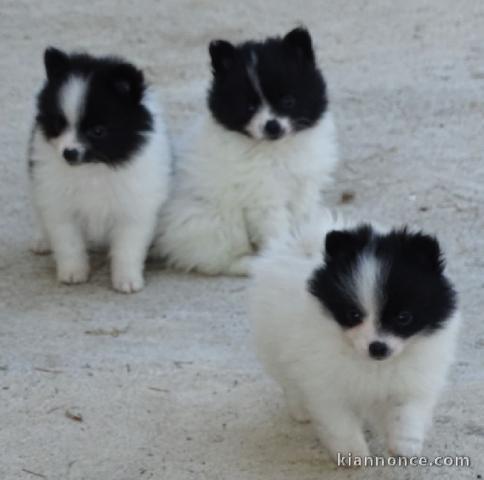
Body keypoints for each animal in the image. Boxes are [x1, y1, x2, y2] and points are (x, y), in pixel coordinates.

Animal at [29, 47, 171, 292]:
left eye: (98, 131)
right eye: (58, 125)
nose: (68, 153)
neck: (93, 168)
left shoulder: (134, 208)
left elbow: (127, 249)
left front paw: (127, 280)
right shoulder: (60, 205)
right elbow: (69, 242)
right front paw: (73, 273)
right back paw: (41, 240)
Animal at [155, 28, 336, 276]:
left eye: (288, 101)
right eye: (249, 107)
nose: (272, 126)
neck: (277, 148)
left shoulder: (304, 186)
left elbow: (302, 219)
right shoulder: (263, 196)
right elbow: (276, 231)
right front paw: (281, 259)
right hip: (211, 220)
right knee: (216, 259)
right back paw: (249, 264)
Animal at [251, 214, 460, 462]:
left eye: (404, 317)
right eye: (353, 315)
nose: (377, 347)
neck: (374, 364)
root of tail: (302, 242)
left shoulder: (413, 378)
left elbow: (406, 410)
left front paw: (404, 444)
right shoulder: (325, 381)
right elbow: (340, 421)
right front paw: (351, 453)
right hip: (273, 342)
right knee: (289, 379)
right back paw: (300, 410)